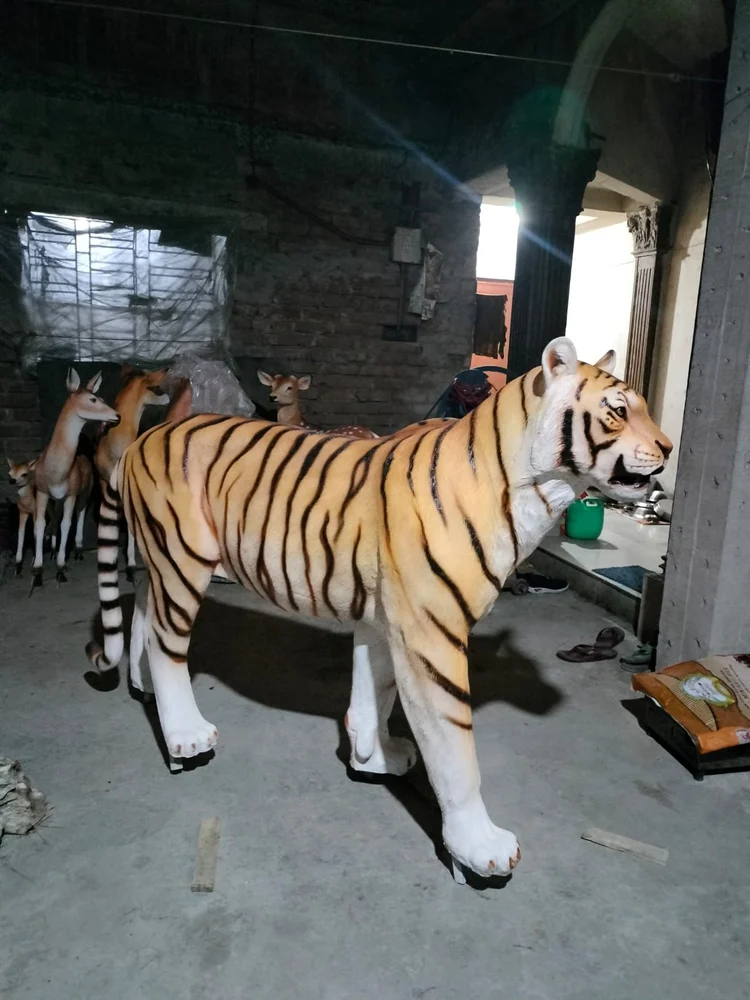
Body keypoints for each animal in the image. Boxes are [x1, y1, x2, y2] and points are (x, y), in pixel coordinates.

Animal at [86, 337, 672, 881]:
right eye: (619, 410)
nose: (668, 446)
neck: (534, 490)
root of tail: (144, 438)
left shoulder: (385, 621)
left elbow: (373, 697)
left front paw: (373, 759)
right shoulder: (432, 635)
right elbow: (455, 751)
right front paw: (477, 847)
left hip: (158, 559)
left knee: (143, 616)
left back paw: (143, 689)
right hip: (183, 558)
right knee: (167, 644)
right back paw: (184, 736)